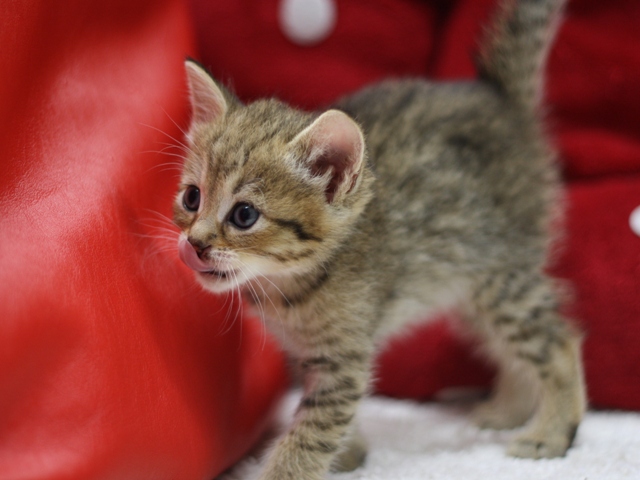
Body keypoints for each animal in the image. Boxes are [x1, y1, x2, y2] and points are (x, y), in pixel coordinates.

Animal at [174, 0, 584, 476]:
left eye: (244, 215)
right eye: (191, 197)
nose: (195, 243)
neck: (288, 288)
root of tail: (497, 95)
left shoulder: (343, 356)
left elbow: (310, 434)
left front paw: (290, 468)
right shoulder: (307, 352)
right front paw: (352, 451)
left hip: (499, 276)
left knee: (558, 340)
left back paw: (550, 432)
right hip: (466, 284)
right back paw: (508, 410)